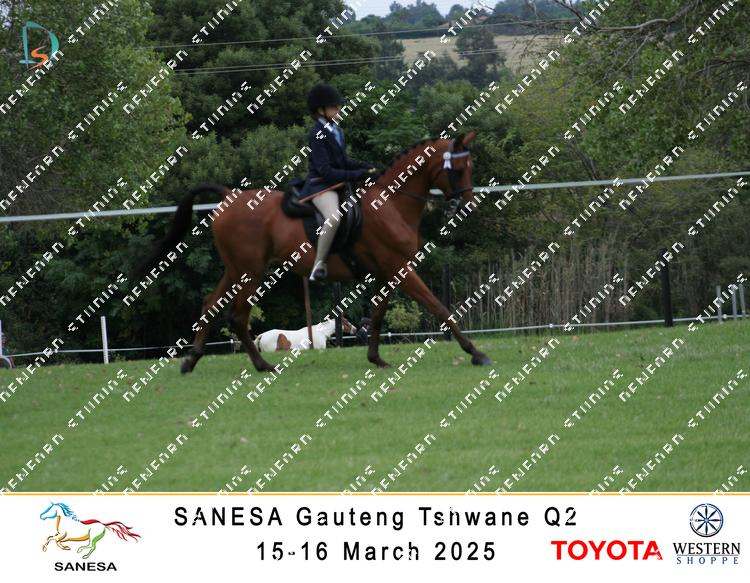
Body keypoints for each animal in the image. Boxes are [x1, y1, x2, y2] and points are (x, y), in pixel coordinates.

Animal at [136, 131, 491, 373]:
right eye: (458, 169)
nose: (469, 203)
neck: (390, 204)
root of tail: (228, 196)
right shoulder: (399, 268)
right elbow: (439, 307)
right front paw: (475, 352)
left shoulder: (387, 273)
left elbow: (376, 316)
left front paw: (376, 358)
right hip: (251, 271)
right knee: (237, 316)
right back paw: (263, 366)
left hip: (236, 269)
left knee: (211, 304)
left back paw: (192, 360)